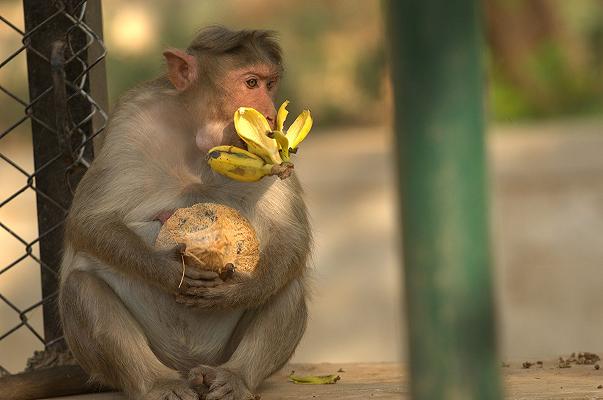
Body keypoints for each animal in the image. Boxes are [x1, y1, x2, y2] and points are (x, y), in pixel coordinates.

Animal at [56, 27, 312, 400]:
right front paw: (169, 271)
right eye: (251, 83)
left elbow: (290, 235)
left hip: (221, 351)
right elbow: (90, 221)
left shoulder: (274, 155)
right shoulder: (132, 119)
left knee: (286, 286)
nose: (267, 114)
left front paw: (239, 290)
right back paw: (155, 382)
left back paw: (235, 376)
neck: (198, 139)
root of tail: (190, 362)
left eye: (270, 84)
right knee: (81, 286)